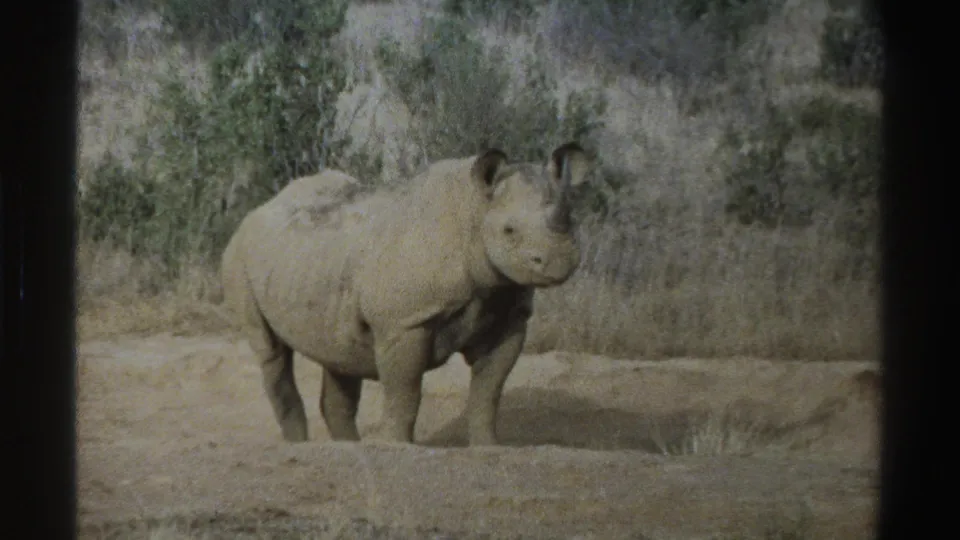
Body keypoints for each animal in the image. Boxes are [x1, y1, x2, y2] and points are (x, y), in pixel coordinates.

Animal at [220, 142, 591, 446]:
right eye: (509, 230)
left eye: (571, 219)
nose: (558, 260)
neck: (474, 212)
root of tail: (259, 209)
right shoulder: (404, 322)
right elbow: (405, 390)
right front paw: (398, 446)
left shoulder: (507, 311)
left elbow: (489, 391)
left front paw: (488, 447)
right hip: (240, 256)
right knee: (271, 351)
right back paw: (300, 445)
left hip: (313, 262)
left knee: (338, 354)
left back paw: (349, 447)